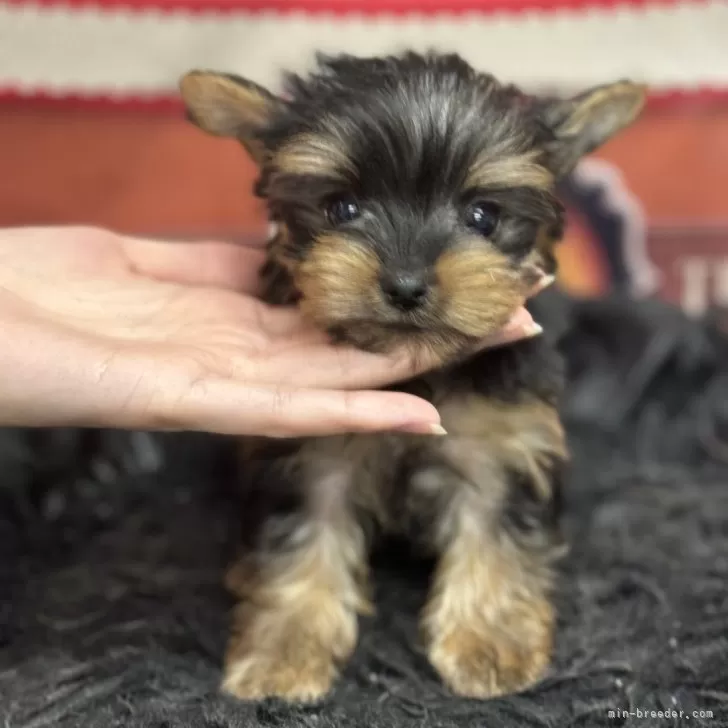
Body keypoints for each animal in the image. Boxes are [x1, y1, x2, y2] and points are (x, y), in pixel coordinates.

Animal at [179, 54, 644, 704]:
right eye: (341, 209)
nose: (404, 285)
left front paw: (489, 642)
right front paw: (283, 650)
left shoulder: (501, 441)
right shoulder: (309, 453)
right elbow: (302, 538)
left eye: (483, 216)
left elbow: (493, 529)